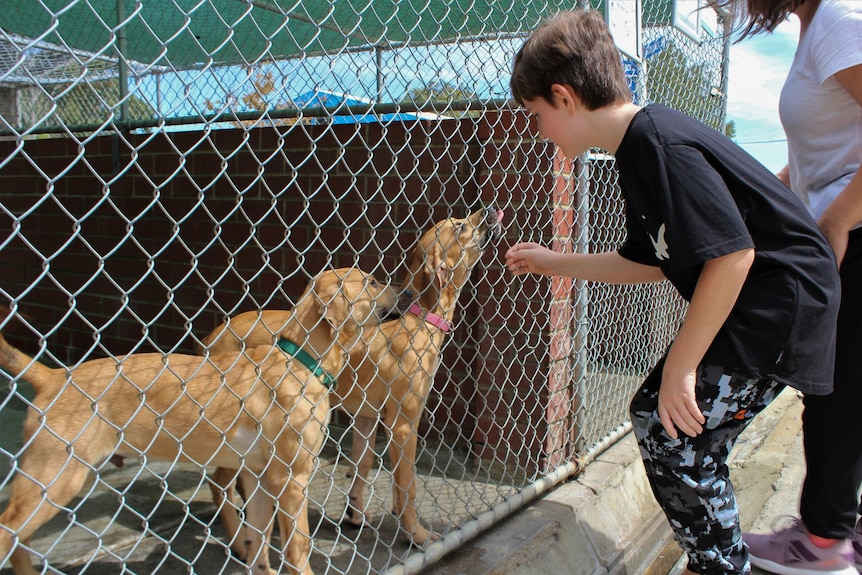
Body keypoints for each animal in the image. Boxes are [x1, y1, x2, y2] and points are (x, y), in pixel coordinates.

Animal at [0, 270, 408, 575]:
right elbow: (298, 549)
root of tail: (53, 376)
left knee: (19, 542)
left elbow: (259, 542)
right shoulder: (292, 480)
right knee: (9, 535)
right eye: (372, 282)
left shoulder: (259, 479)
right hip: (53, 480)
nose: (407, 293)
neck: (300, 359)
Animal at [199, 207, 502, 548]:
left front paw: (355, 513)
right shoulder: (403, 423)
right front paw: (416, 534)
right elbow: (407, 484)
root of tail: (212, 337)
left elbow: (364, 465)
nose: (491, 209)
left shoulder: (367, 417)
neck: (417, 318)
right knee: (219, 482)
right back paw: (239, 541)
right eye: (460, 226)